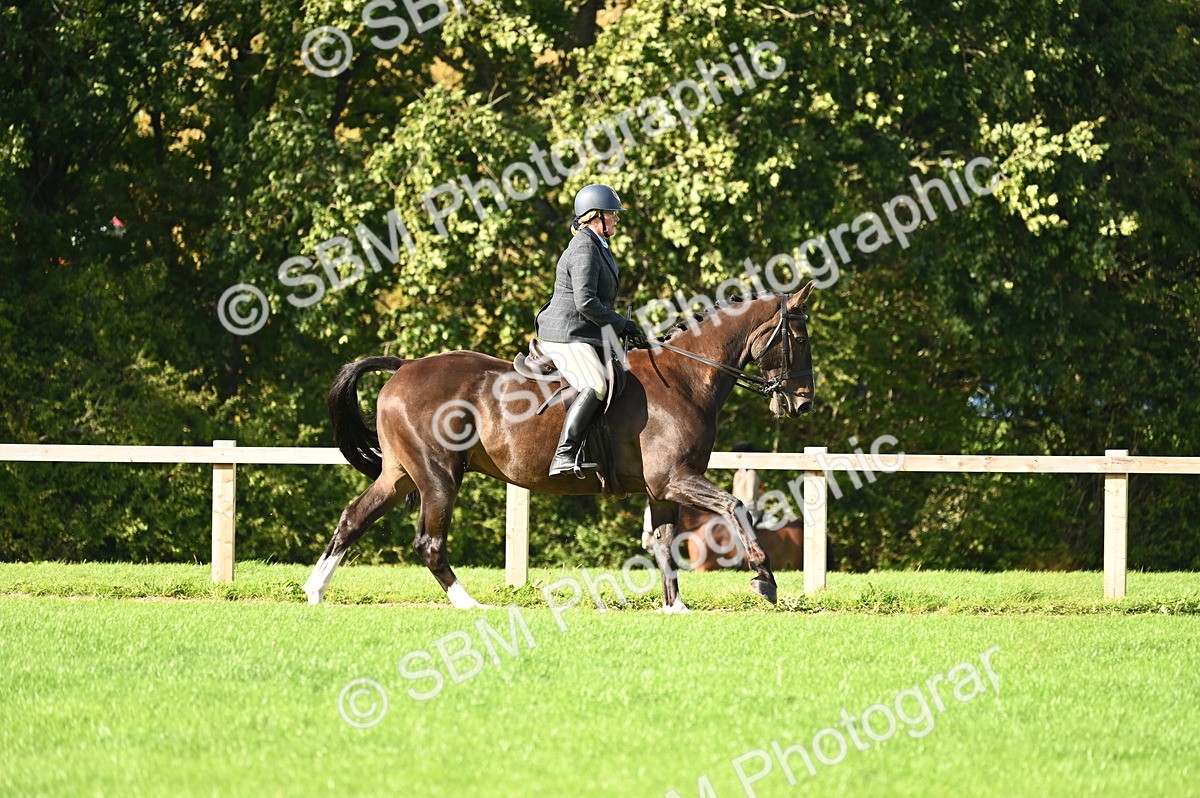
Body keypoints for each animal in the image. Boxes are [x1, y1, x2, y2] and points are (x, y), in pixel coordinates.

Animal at [302, 282, 817, 612]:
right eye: (797, 337)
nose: (802, 403)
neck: (686, 377)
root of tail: (405, 366)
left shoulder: (663, 488)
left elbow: (666, 542)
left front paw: (675, 608)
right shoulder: (675, 479)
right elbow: (735, 507)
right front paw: (764, 579)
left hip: (400, 475)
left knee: (353, 519)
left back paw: (315, 591)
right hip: (437, 477)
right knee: (429, 543)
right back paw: (469, 604)